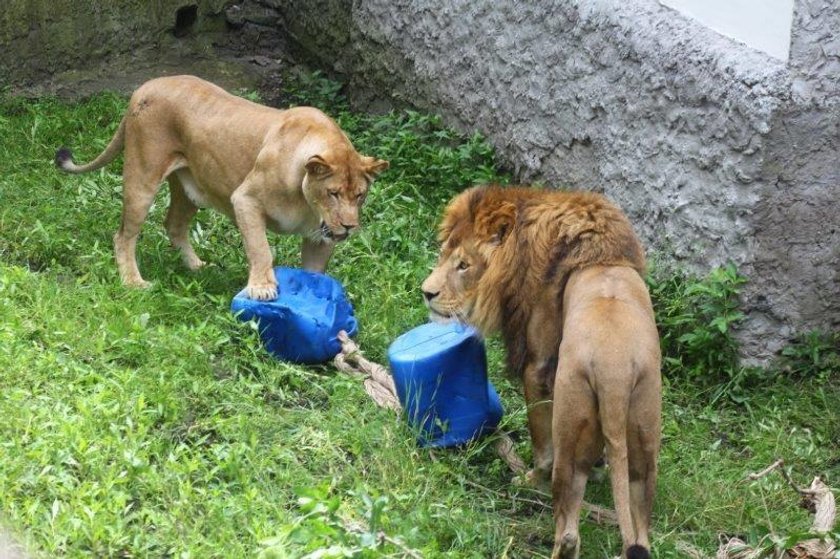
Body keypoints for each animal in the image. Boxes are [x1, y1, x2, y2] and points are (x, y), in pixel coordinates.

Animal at [54, 77, 388, 302]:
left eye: (360, 195)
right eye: (333, 193)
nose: (349, 226)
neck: (308, 203)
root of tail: (144, 87)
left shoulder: (321, 236)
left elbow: (315, 272)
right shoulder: (245, 200)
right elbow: (261, 249)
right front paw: (262, 288)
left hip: (190, 188)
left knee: (173, 224)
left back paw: (196, 267)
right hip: (142, 179)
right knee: (124, 235)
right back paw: (134, 282)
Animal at [424, 186, 660, 556]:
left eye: (463, 265)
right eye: (444, 254)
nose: (426, 292)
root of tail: (616, 370)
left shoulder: (537, 366)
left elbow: (540, 441)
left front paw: (531, 481)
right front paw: (599, 466)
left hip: (570, 413)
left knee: (567, 511)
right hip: (644, 434)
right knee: (640, 525)